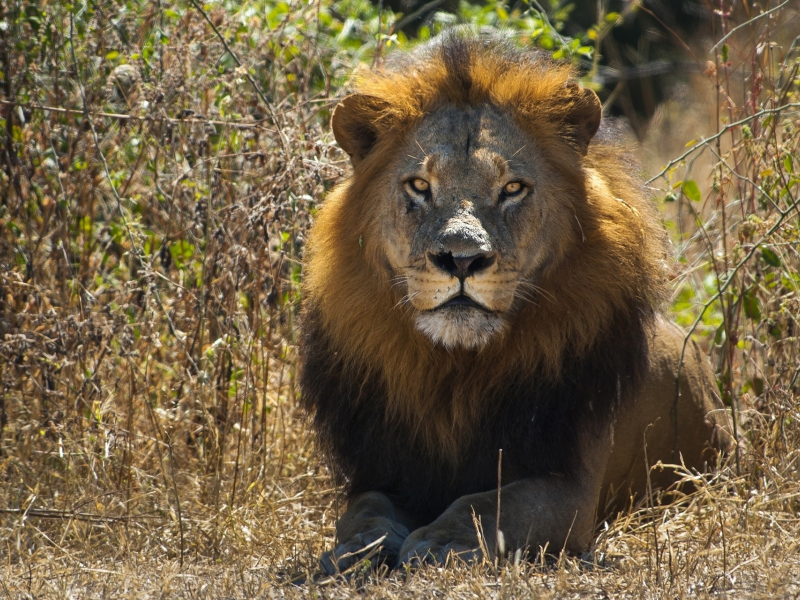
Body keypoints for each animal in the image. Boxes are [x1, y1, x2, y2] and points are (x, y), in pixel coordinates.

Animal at [298, 29, 732, 572]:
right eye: (419, 185)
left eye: (512, 188)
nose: (461, 259)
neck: (453, 372)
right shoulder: (383, 470)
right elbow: (364, 511)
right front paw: (358, 549)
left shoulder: (570, 487)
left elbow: (490, 504)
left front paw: (438, 542)